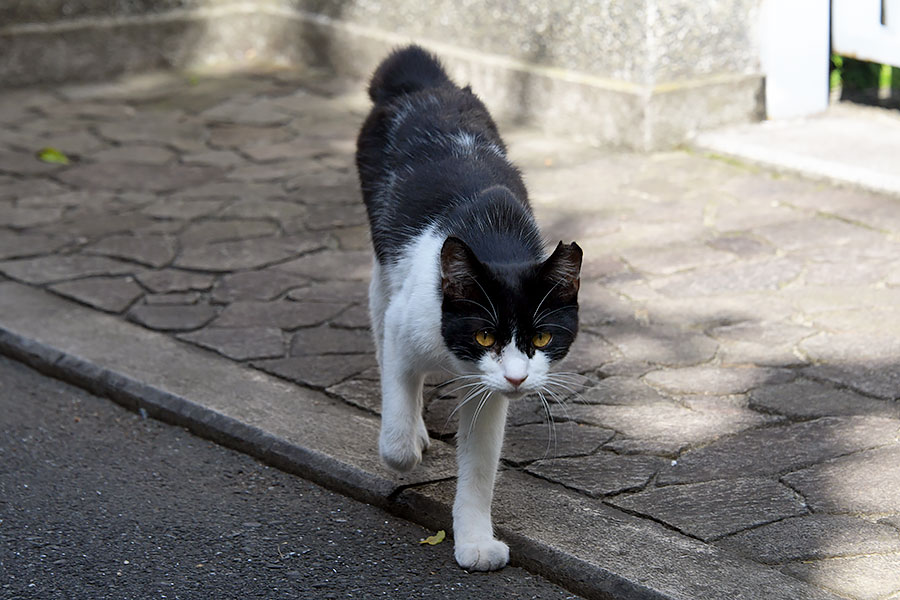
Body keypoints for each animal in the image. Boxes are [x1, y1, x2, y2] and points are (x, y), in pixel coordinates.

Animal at [356, 45, 580, 572]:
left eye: (542, 338)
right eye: (484, 335)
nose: (518, 378)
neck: (493, 237)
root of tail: (423, 85)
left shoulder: (491, 390)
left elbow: (480, 466)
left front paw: (475, 540)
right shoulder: (407, 325)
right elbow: (396, 435)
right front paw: (406, 442)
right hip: (384, 267)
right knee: (379, 322)